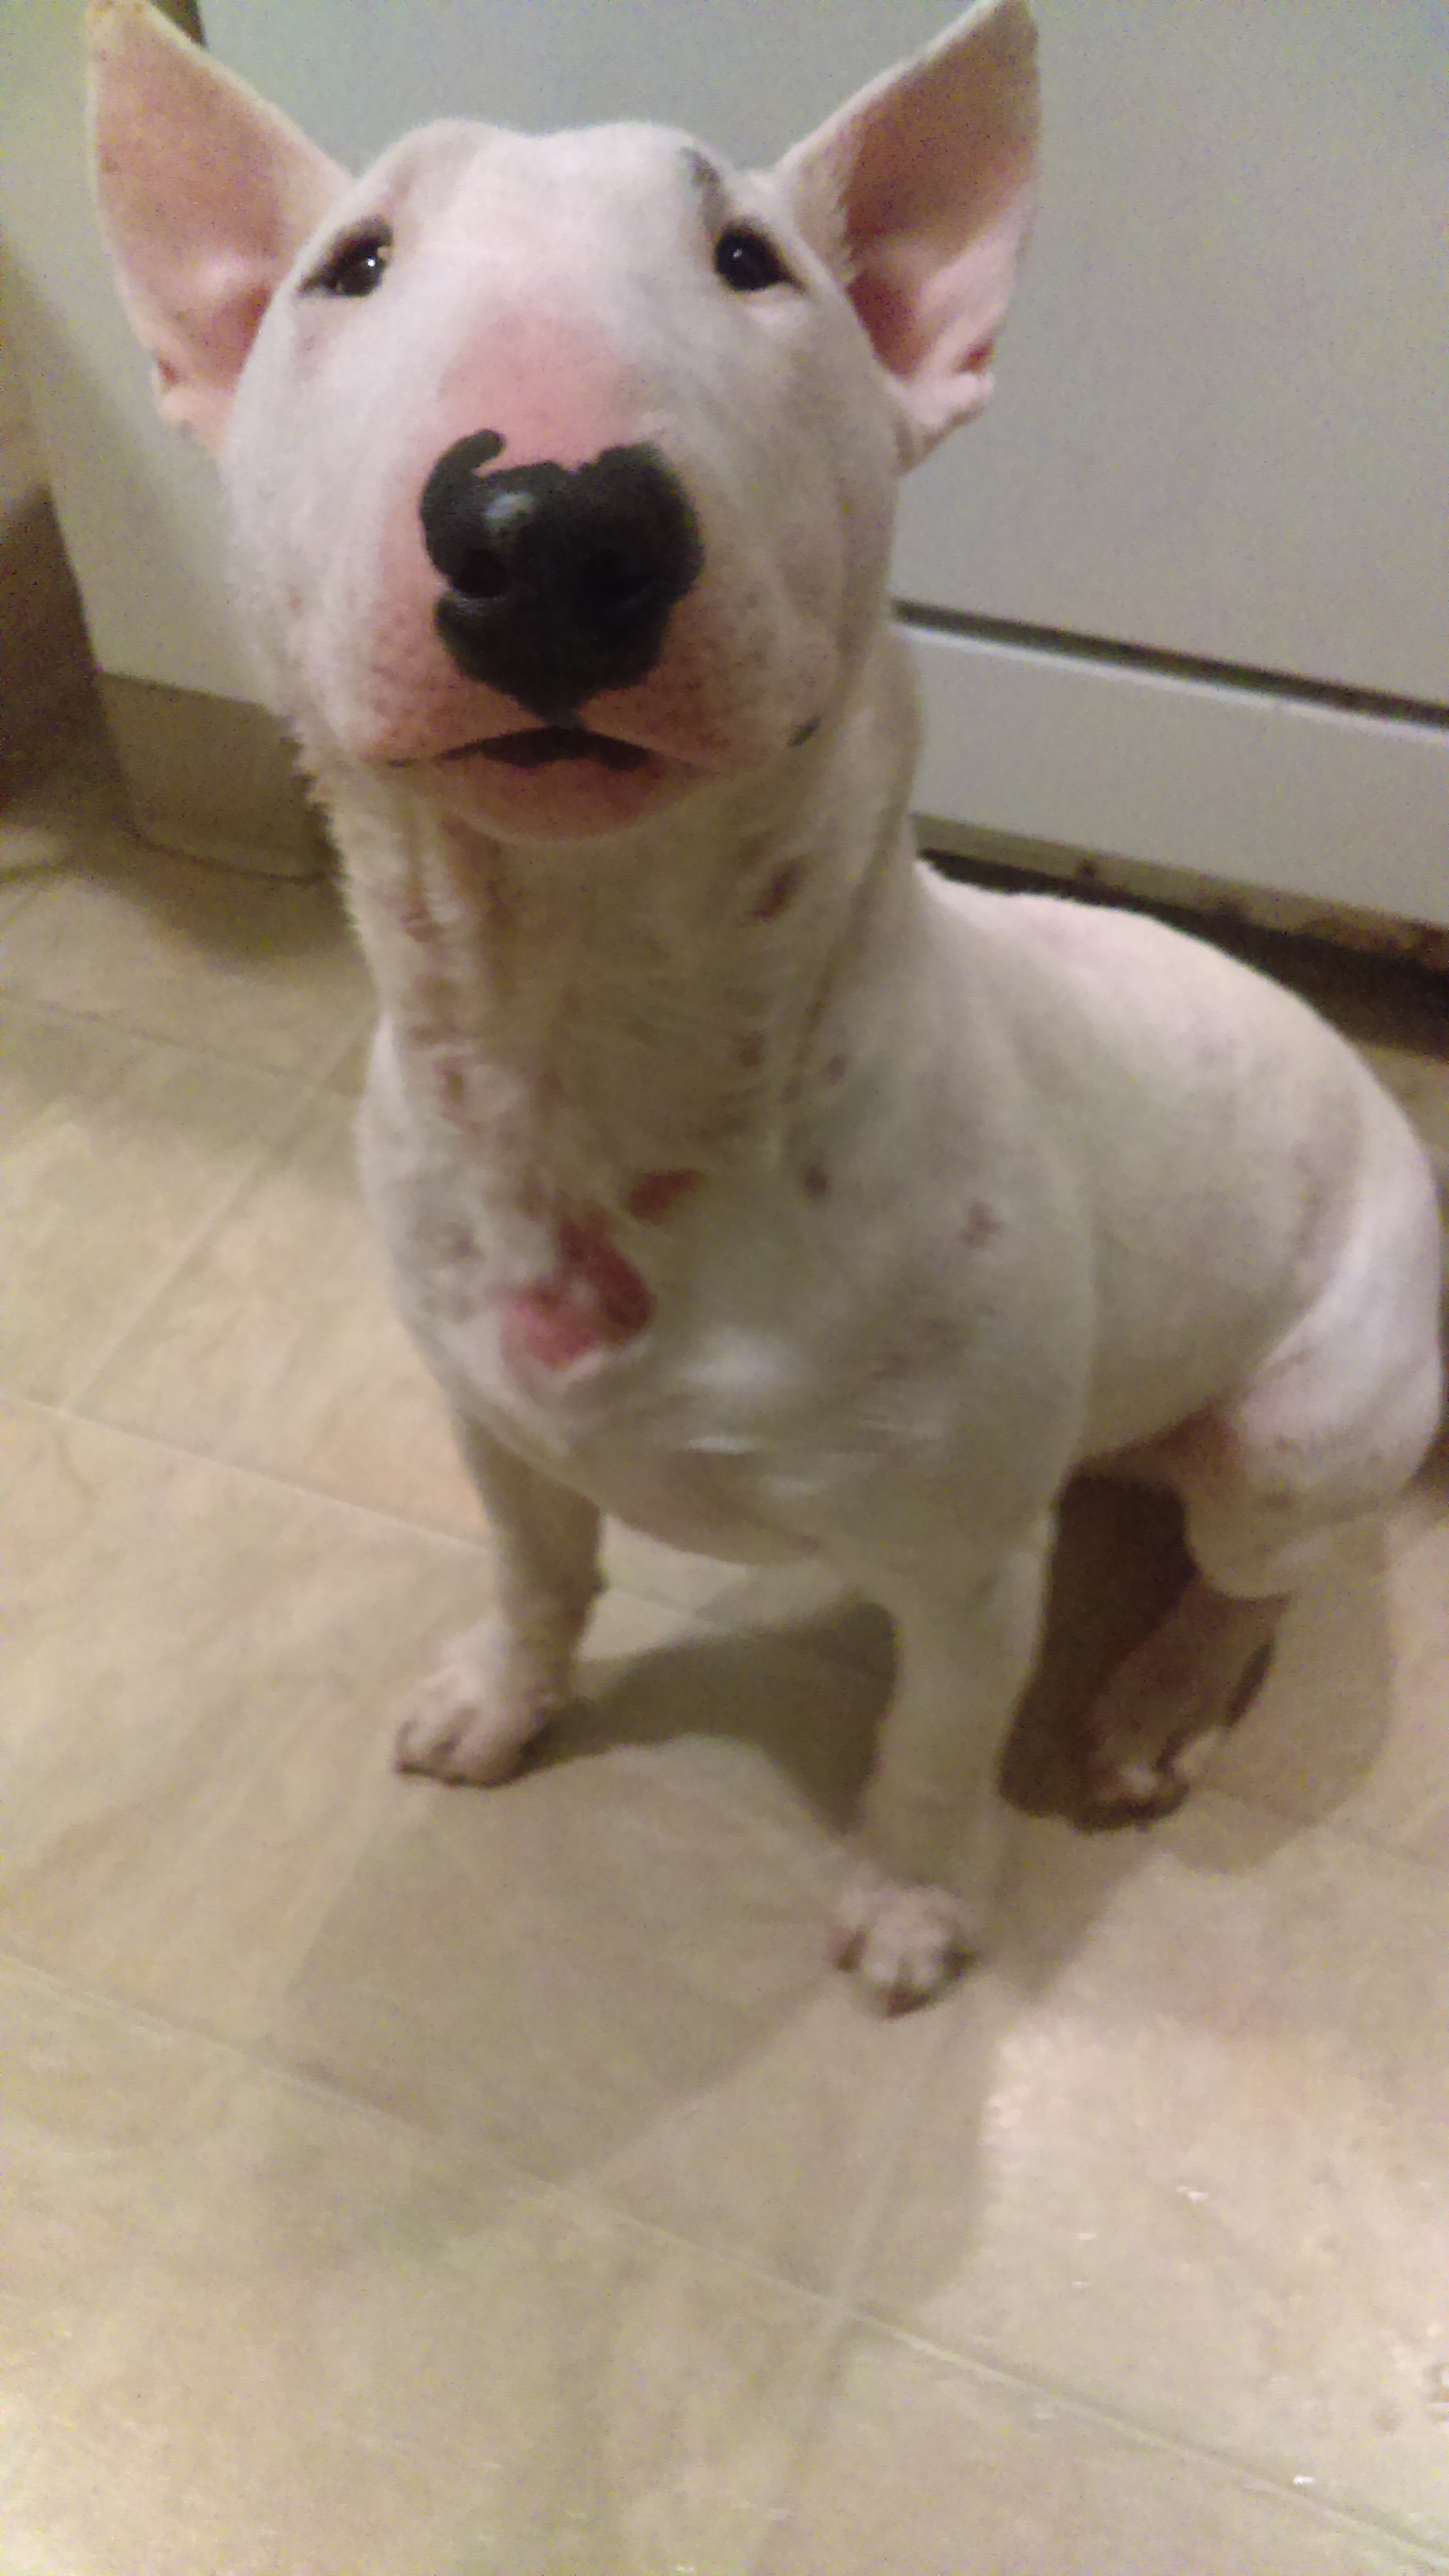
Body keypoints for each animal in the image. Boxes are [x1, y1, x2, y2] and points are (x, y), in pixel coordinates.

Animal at [89, 0, 1443, 2009]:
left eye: (752, 262)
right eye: (353, 265)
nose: (548, 521)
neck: (593, 1049)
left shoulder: (967, 1567)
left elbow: (939, 1732)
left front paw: (915, 1902)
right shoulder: (493, 1426)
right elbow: (535, 1570)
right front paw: (498, 1703)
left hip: (1300, 1425)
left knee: (1256, 1578)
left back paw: (1155, 1701)